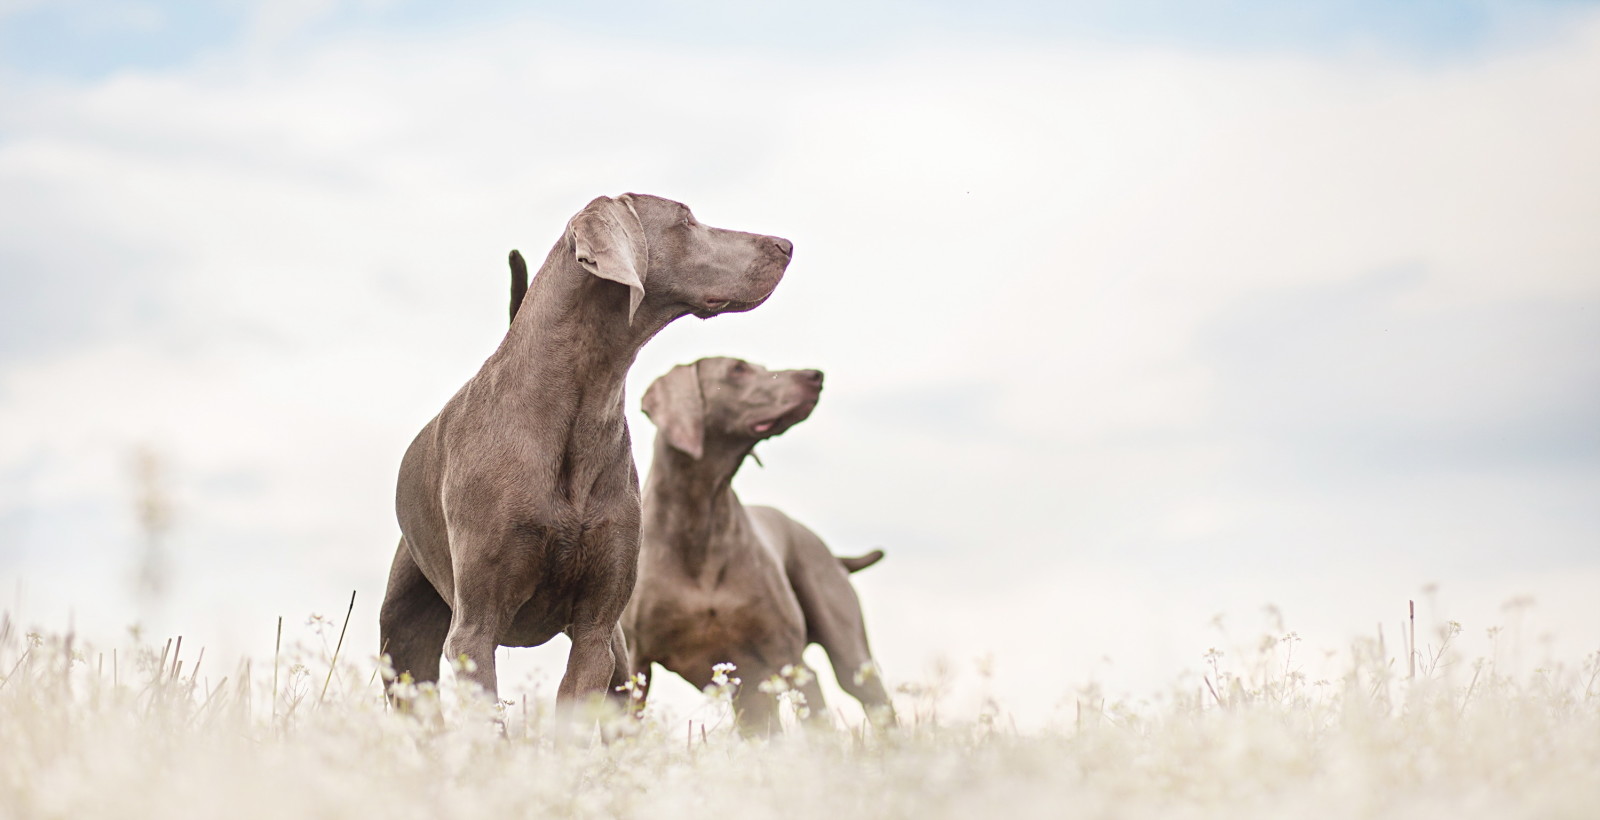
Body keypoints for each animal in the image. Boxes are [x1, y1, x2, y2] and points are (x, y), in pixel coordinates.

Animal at [380, 195, 793, 707]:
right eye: (685, 219)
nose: (786, 245)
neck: (579, 403)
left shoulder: (597, 630)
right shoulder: (474, 630)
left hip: (622, 658)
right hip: (403, 640)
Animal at [620, 357, 902, 730]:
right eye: (737, 369)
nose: (815, 375)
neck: (700, 520)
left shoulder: (790, 659)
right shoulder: (637, 662)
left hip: (848, 655)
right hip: (751, 693)